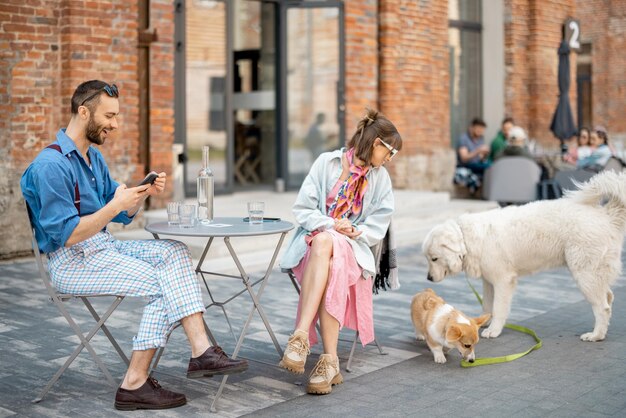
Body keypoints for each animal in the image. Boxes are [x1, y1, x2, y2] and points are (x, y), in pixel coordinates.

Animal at [420, 171, 624, 342]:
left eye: (434, 258)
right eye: (428, 259)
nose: (428, 278)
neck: (467, 239)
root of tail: (606, 216)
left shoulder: (503, 281)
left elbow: (498, 308)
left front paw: (493, 330)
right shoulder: (489, 282)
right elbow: (488, 306)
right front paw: (482, 323)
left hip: (584, 274)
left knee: (602, 307)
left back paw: (595, 335)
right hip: (594, 274)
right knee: (609, 297)